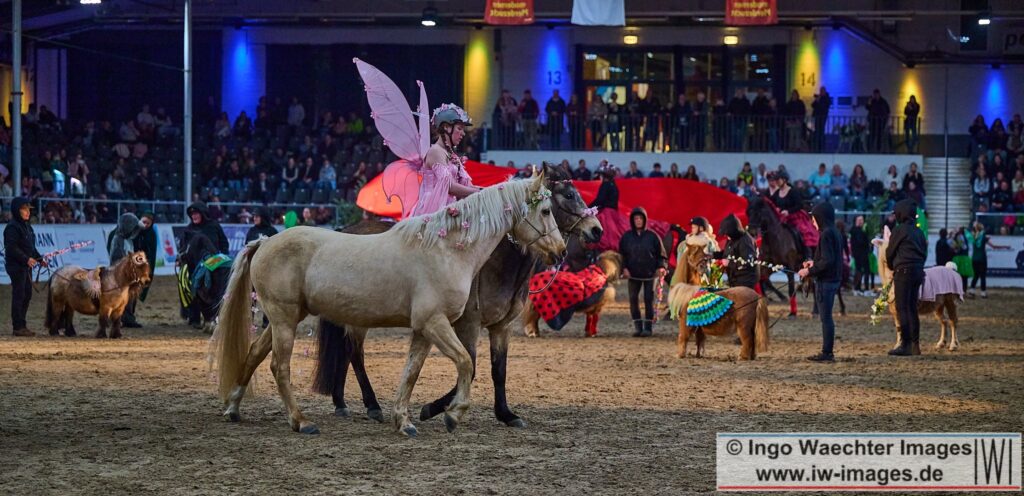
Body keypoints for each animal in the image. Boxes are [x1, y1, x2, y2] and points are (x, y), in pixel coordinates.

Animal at [216, 173, 567, 436]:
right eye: (546, 210)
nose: (562, 251)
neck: (446, 250)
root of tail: (265, 241)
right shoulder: (437, 323)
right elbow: (466, 363)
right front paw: (453, 414)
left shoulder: (425, 330)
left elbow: (411, 372)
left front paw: (404, 419)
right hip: (285, 320)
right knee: (280, 367)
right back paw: (301, 421)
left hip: (282, 320)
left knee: (254, 355)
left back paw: (233, 407)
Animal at [313, 163, 603, 428]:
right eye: (568, 195)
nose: (597, 230)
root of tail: (344, 230)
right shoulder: (469, 325)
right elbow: (470, 365)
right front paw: (433, 409)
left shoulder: (501, 327)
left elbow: (499, 370)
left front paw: (506, 414)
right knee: (355, 354)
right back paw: (372, 405)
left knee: (344, 354)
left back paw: (340, 402)